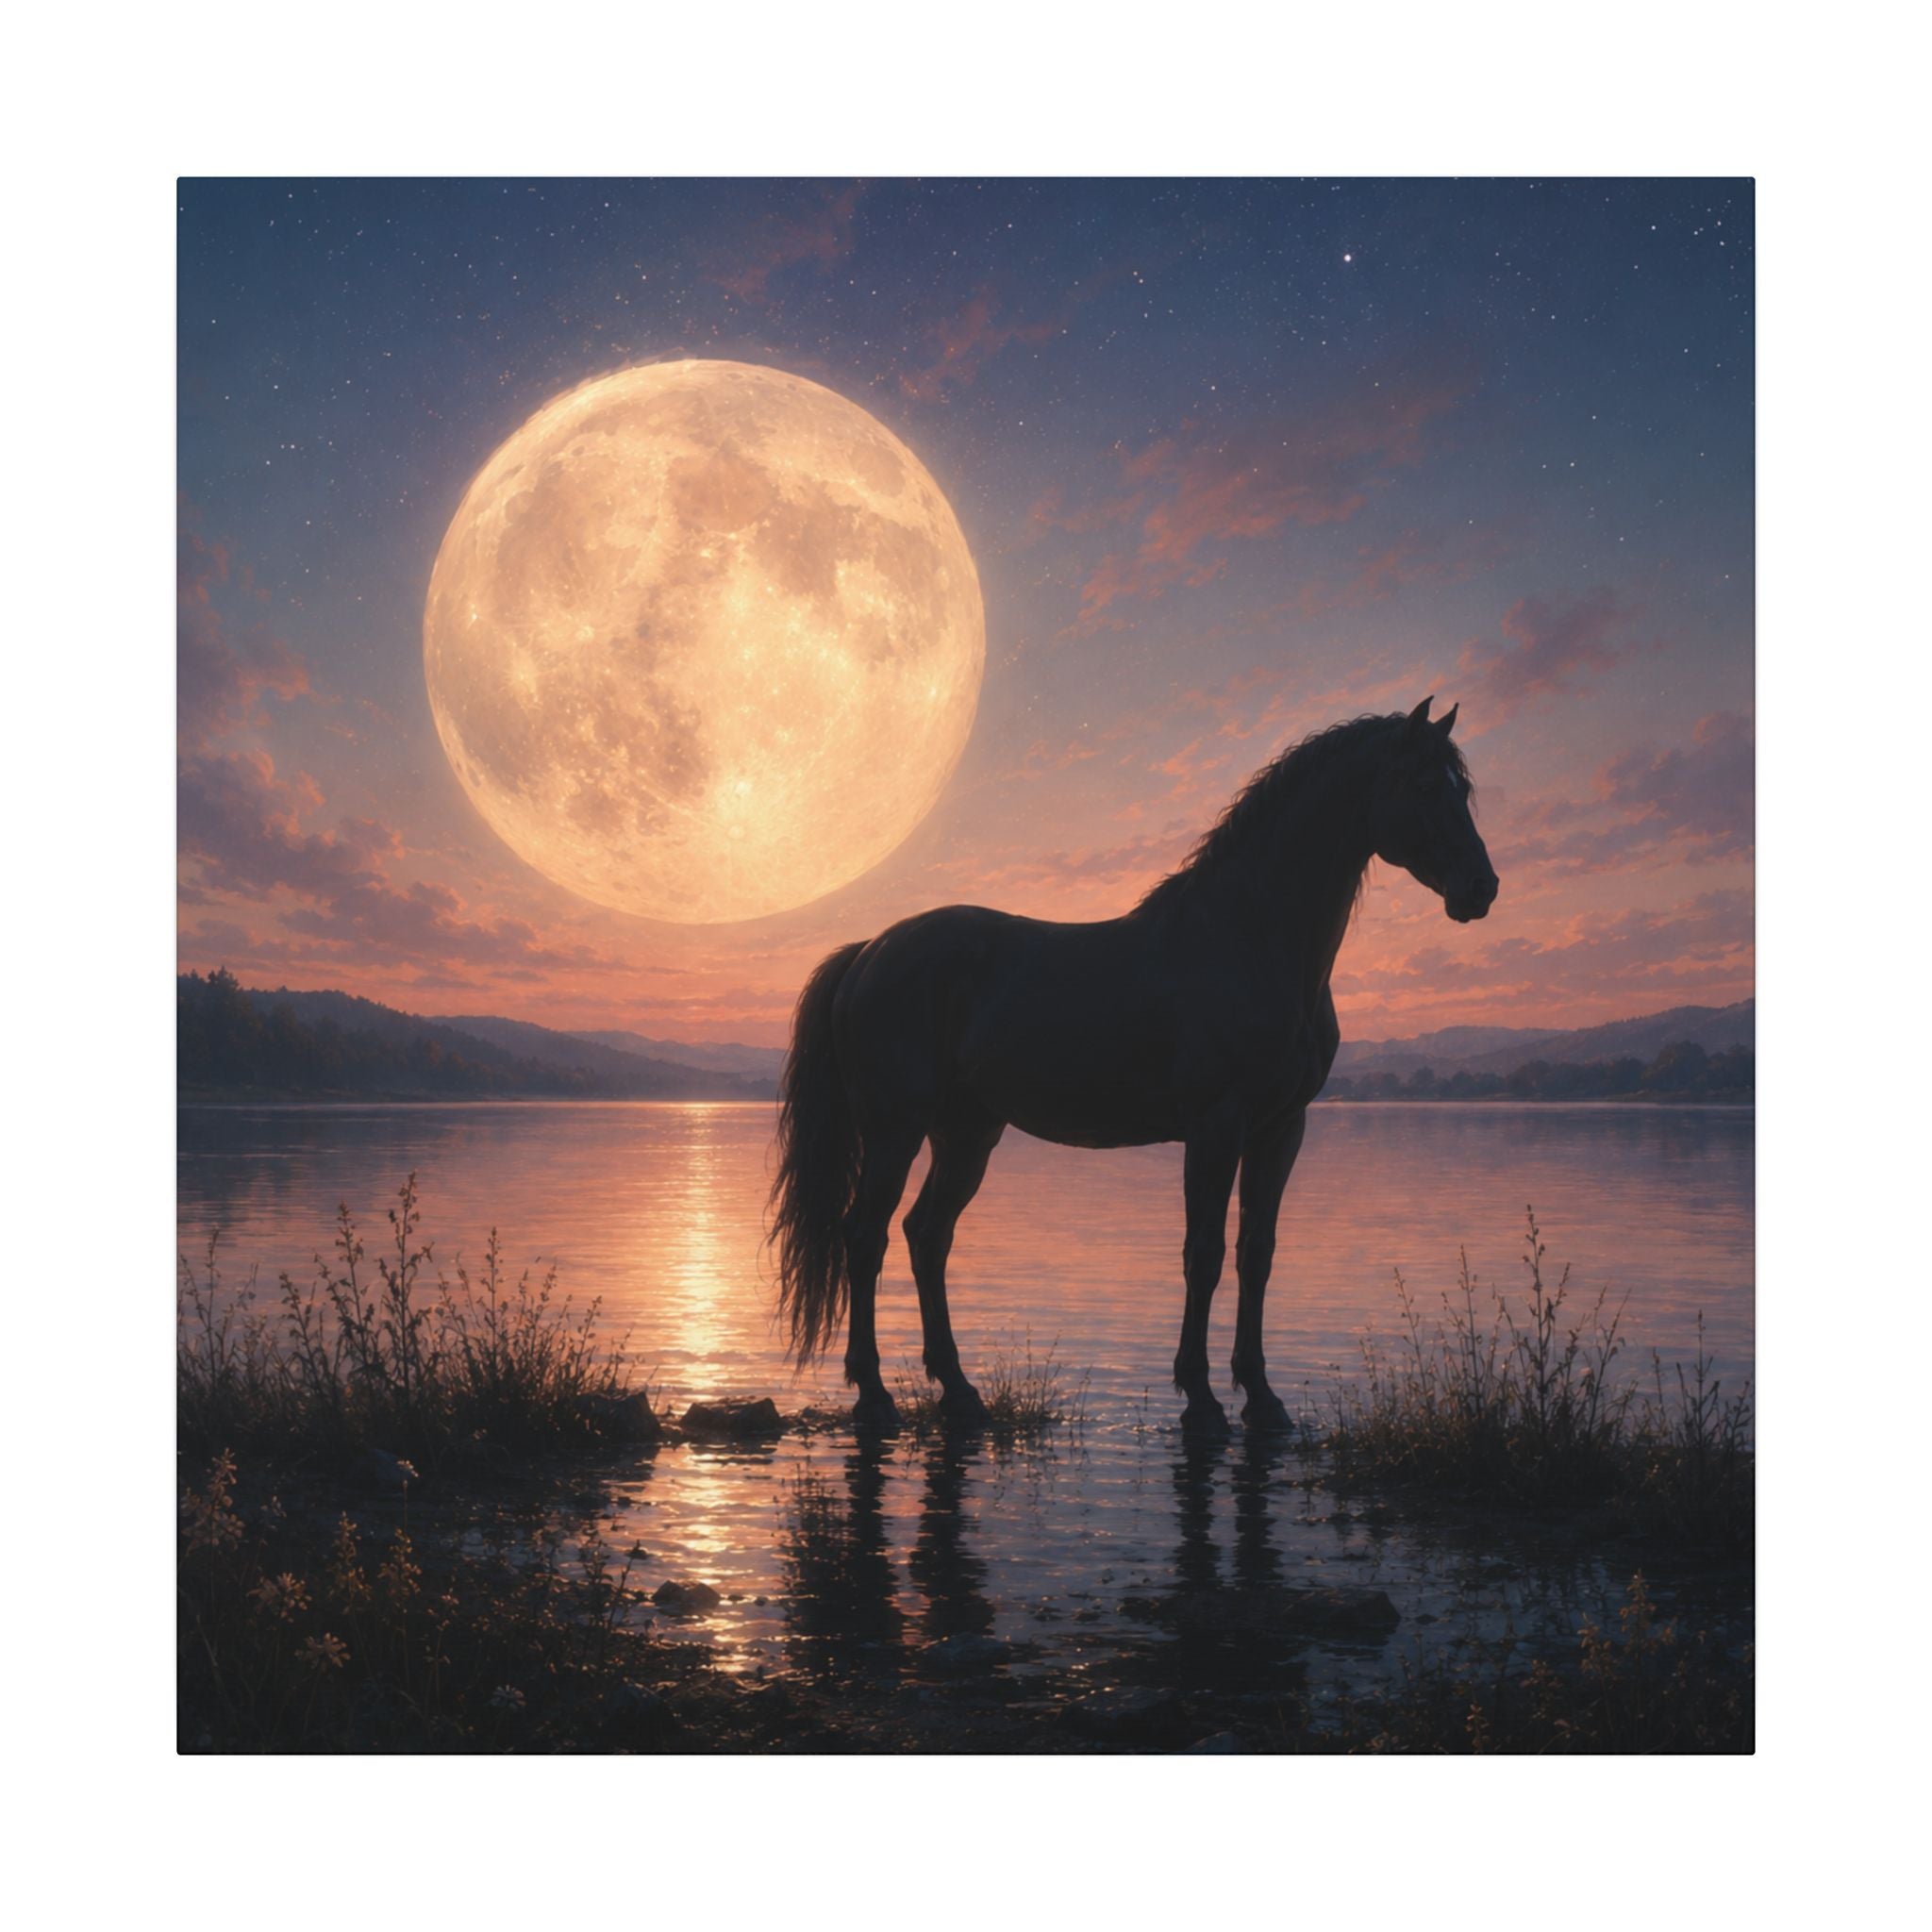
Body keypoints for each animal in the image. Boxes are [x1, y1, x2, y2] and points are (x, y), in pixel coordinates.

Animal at [767, 696, 1499, 1437]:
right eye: (1424, 785)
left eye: (1462, 788)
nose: (1481, 888)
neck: (1249, 939)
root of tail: (871, 950)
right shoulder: (1215, 1128)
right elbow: (1203, 1254)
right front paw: (1201, 1398)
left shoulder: (1280, 1129)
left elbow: (1255, 1254)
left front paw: (1262, 1397)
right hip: (895, 1130)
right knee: (865, 1237)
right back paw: (874, 1393)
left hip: (966, 1134)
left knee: (926, 1235)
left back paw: (959, 1389)